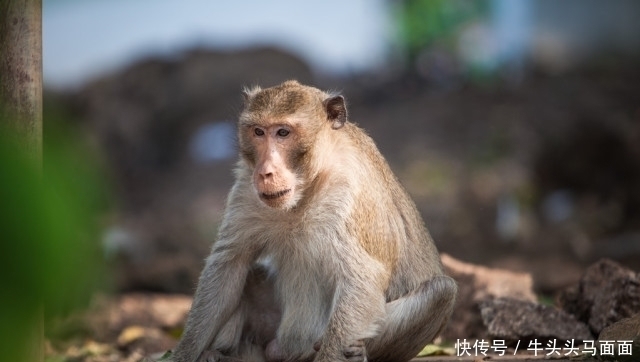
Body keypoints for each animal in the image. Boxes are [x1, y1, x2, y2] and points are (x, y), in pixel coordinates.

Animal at [170, 80, 456, 362]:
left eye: (283, 133)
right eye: (258, 132)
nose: (265, 172)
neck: (309, 186)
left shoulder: (348, 193)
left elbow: (362, 279)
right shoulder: (246, 188)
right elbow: (230, 265)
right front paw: (183, 354)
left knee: (442, 291)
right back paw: (219, 354)